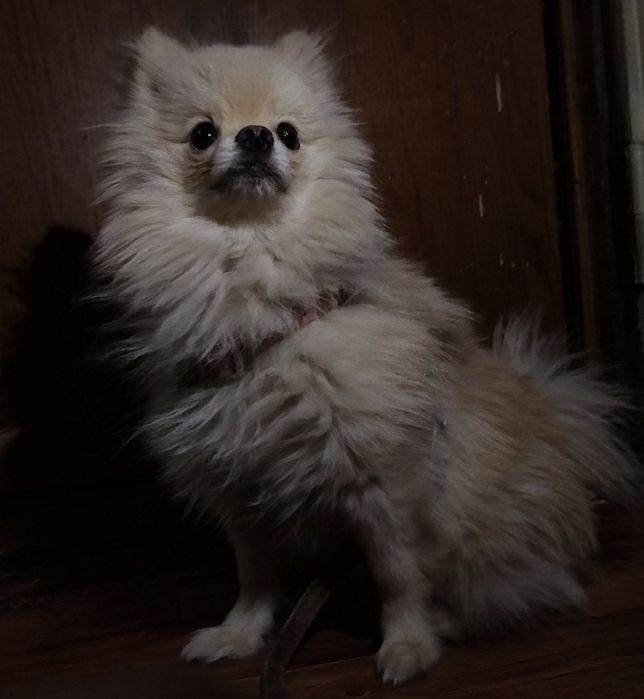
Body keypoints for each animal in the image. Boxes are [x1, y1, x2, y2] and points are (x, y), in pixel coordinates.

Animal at [94, 28, 638, 685]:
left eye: (288, 133)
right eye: (202, 133)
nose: (255, 136)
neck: (257, 295)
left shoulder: (380, 483)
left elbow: (398, 576)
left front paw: (407, 644)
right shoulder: (240, 493)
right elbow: (255, 578)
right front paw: (240, 635)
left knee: (517, 585)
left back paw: (452, 619)